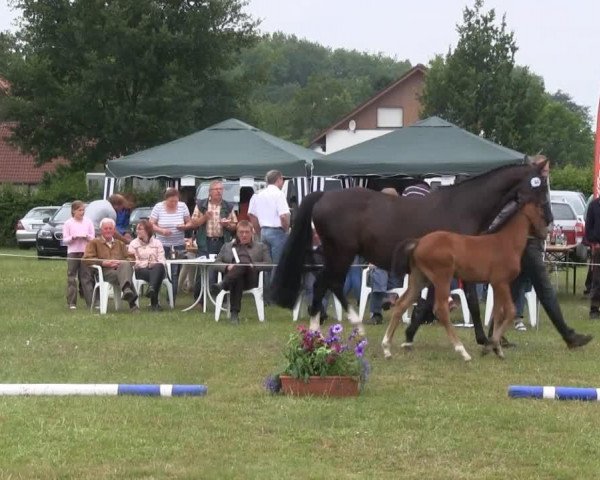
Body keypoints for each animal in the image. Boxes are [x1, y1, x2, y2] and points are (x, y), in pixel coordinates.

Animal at [384, 201, 548, 362]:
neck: (506, 242)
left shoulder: (495, 285)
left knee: (400, 305)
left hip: (420, 279)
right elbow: (510, 311)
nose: (545, 234)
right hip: (442, 278)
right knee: (441, 310)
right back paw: (463, 352)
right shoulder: (501, 283)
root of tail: (418, 242)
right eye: (541, 213)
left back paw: (387, 349)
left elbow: (497, 314)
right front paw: (489, 347)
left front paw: (497, 349)